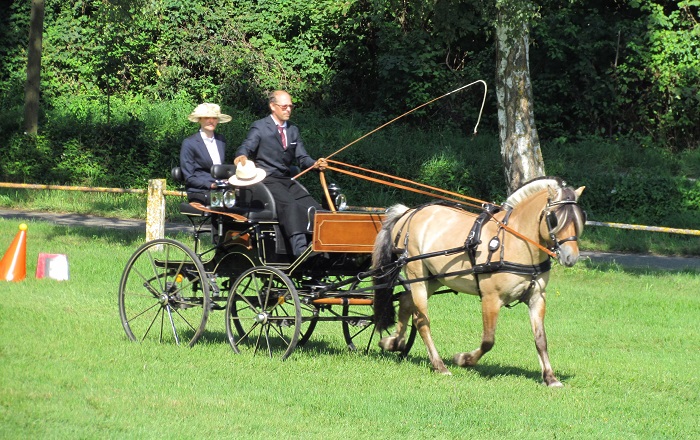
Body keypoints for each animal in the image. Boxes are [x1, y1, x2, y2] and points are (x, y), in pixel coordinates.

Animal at [372, 175, 584, 384]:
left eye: (579, 218)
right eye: (554, 218)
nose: (571, 257)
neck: (514, 241)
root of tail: (408, 212)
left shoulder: (537, 297)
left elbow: (541, 339)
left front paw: (550, 377)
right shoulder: (491, 298)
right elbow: (488, 340)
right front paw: (463, 359)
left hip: (433, 278)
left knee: (405, 301)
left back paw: (393, 342)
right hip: (417, 276)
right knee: (422, 320)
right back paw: (439, 365)